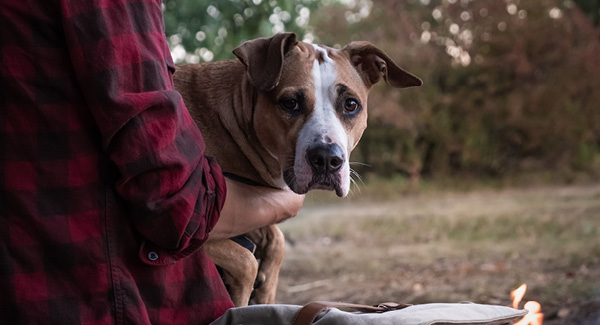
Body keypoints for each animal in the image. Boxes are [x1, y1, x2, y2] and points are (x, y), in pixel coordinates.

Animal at [173, 31, 422, 306]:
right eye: (290, 103)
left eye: (350, 104)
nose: (327, 159)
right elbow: (246, 261)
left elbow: (277, 239)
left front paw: (266, 289)